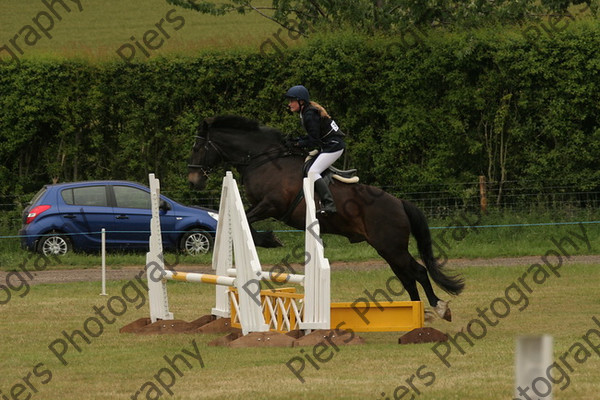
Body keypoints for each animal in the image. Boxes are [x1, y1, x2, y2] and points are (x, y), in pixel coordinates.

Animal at [188, 114, 464, 320]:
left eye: (198, 147)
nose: (193, 181)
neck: (264, 159)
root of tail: (400, 203)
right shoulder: (263, 206)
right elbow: (246, 221)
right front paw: (270, 239)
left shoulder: (271, 205)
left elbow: (249, 222)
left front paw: (271, 240)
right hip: (387, 248)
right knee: (407, 276)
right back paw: (416, 312)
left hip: (392, 246)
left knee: (417, 272)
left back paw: (438, 308)